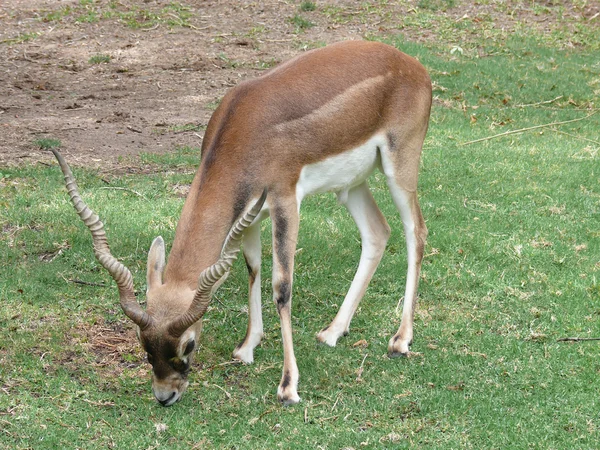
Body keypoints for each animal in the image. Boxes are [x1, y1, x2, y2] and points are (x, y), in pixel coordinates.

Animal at [51, 40, 432, 406]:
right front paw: (247, 347)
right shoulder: (249, 213)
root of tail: (413, 65)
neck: (244, 129)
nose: (165, 396)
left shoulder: (284, 200)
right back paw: (333, 332)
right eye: (144, 346)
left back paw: (400, 340)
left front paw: (288, 387)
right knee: (378, 232)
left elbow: (281, 287)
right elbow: (252, 267)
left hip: (400, 167)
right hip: (350, 185)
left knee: (416, 232)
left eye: (188, 345)